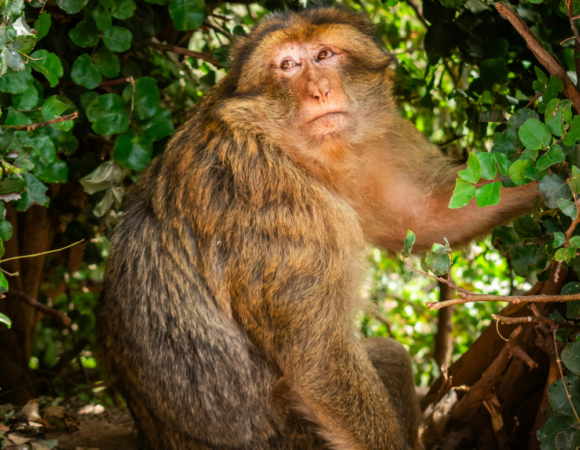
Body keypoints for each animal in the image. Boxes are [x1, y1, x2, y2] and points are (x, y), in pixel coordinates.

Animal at [94, 7, 536, 450]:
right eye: (288, 65)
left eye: (324, 55)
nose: (320, 90)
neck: (286, 146)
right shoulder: (279, 208)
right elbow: (319, 362)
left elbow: (423, 214)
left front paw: (546, 175)